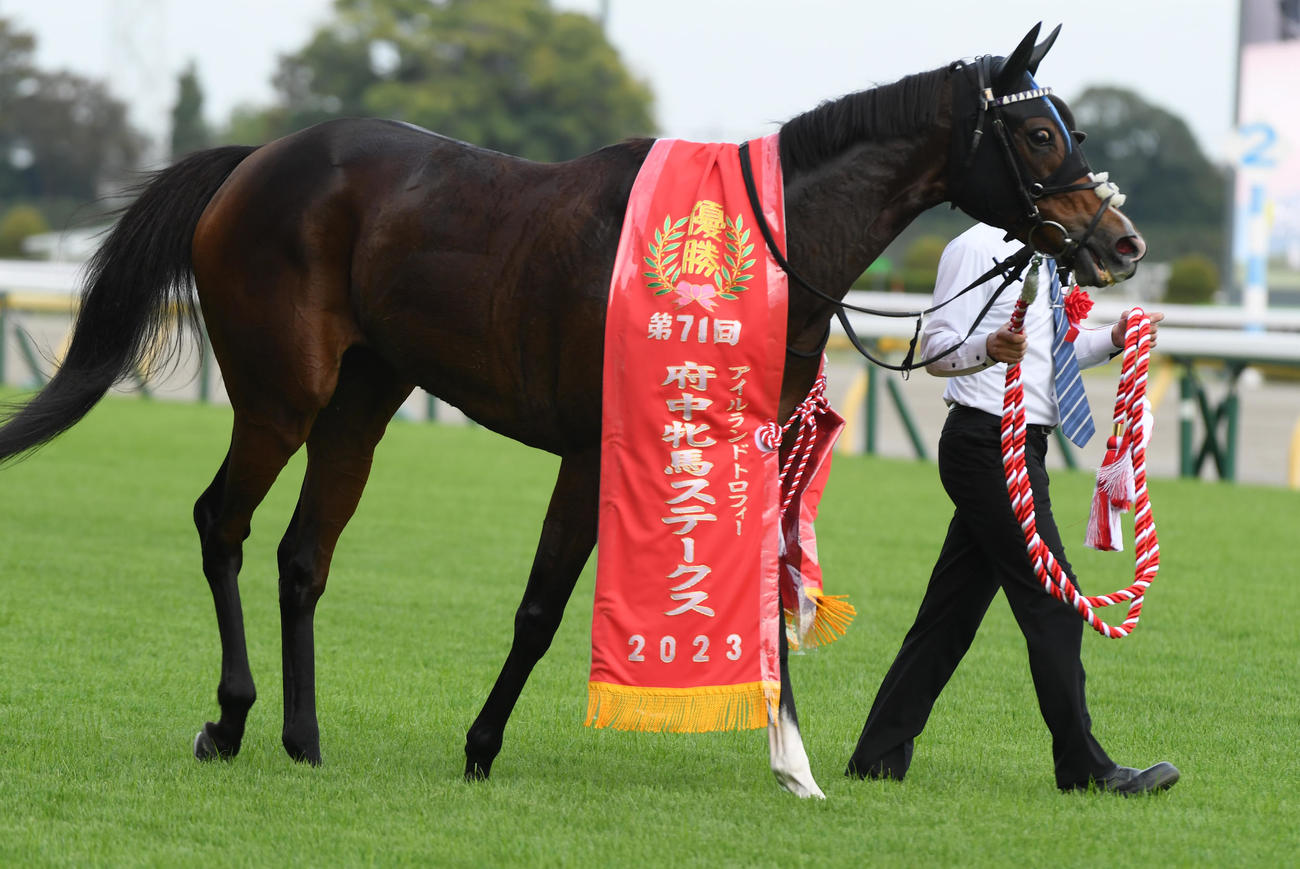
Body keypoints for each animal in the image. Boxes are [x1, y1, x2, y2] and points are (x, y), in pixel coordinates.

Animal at [0, 24, 1145, 799]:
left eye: (1075, 127)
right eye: (1035, 132)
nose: (1121, 242)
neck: (764, 247)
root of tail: (256, 161)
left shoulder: (744, 444)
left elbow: (762, 605)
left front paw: (794, 759)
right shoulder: (597, 449)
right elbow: (543, 605)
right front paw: (480, 746)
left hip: (363, 398)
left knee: (301, 555)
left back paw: (302, 735)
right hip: (282, 392)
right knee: (221, 523)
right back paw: (231, 719)